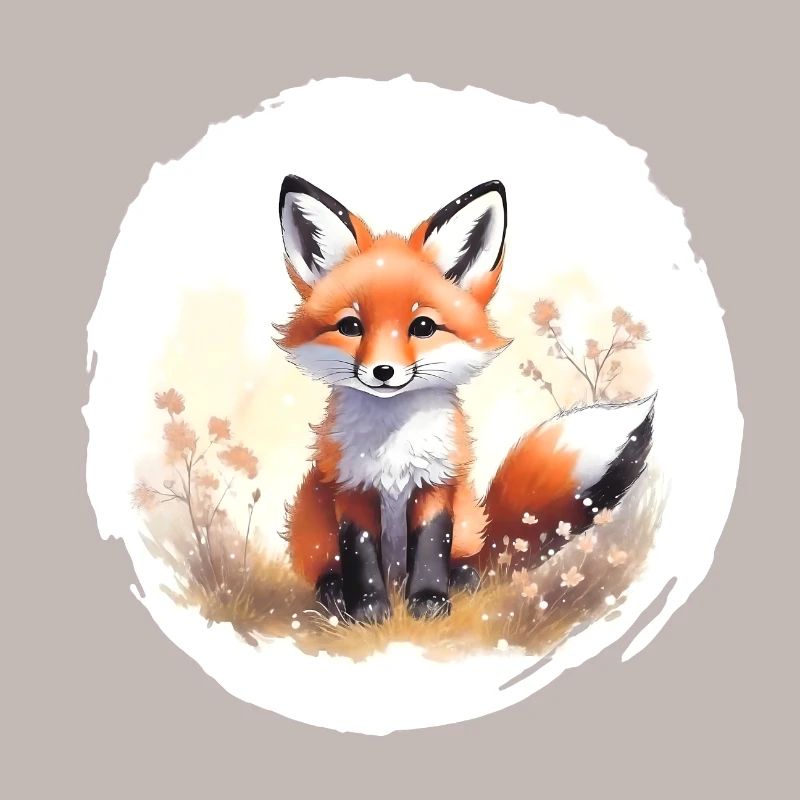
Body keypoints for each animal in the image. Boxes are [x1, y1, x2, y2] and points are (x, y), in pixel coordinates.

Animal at [276, 175, 654, 624]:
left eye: (423, 326)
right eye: (351, 326)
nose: (382, 372)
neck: (393, 445)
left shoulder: (437, 482)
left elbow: (430, 547)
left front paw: (429, 601)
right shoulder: (352, 487)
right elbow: (361, 554)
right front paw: (368, 609)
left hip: (468, 522)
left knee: (470, 561)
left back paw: (461, 580)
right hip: (310, 521)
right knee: (328, 568)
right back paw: (334, 593)